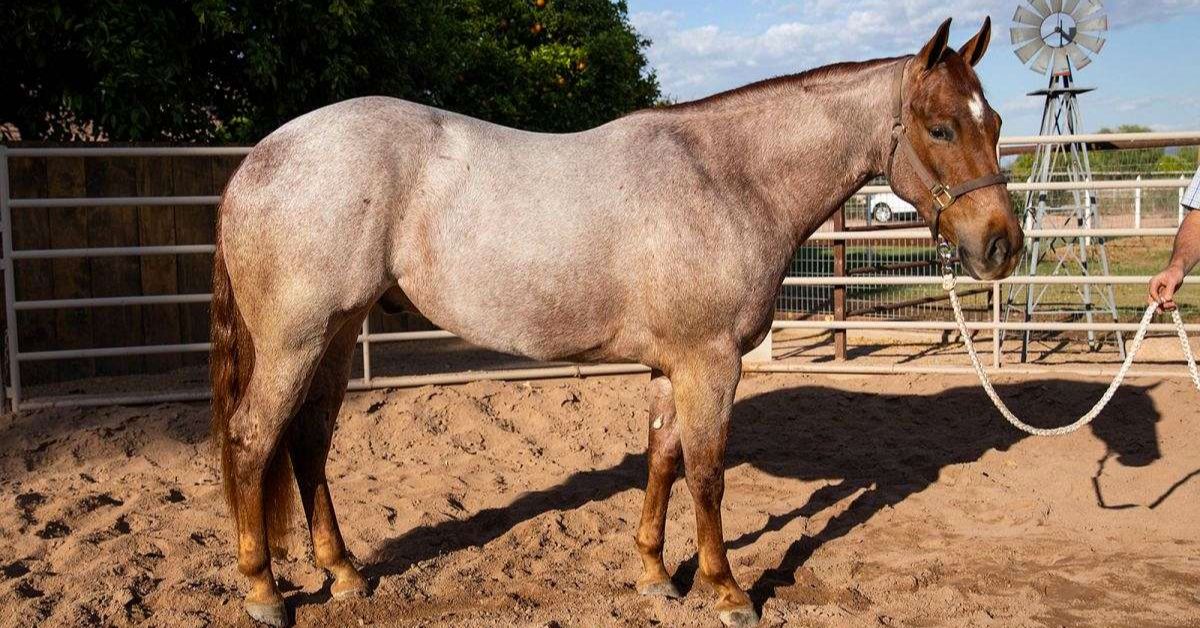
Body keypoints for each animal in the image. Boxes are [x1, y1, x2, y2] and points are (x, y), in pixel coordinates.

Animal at [211, 17, 1017, 628]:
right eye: (941, 128)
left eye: (997, 121)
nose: (1002, 246)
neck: (727, 177)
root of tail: (261, 159)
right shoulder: (711, 363)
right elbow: (708, 474)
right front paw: (727, 592)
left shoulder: (673, 365)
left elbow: (662, 461)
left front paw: (655, 574)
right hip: (296, 340)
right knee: (254, 439)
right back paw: (263, 592)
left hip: (337, 335)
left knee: (308, 442)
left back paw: (345, 574)